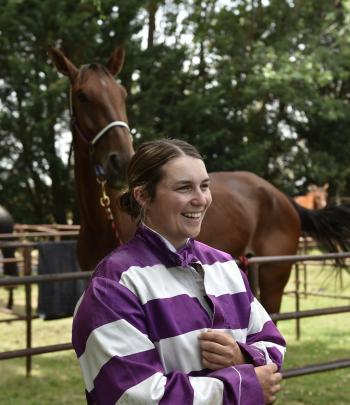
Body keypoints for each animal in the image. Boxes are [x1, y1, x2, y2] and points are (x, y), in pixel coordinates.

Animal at [48, 46, 350, 312]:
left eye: (121, 94)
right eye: (83, 96)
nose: (121, 160)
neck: (104, 222)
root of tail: (280, 197)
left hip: (274, 274)